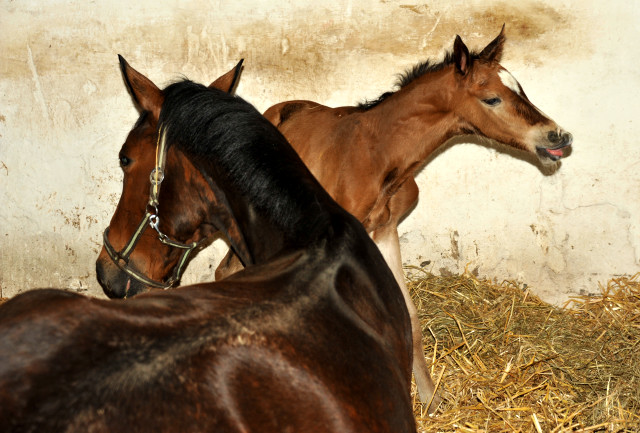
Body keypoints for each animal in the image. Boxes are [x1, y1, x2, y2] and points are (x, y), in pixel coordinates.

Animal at [216, 27, 576, 408]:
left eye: (520, 88)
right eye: (492, 99)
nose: (558, 136)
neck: (377, 153)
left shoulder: (384, 231)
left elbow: (408, 314)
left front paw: (431, 397)